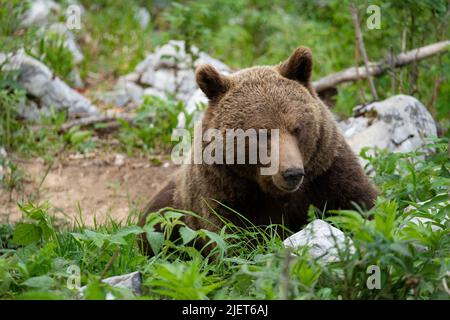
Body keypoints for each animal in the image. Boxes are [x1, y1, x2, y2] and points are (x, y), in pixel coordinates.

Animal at [139, 45, 378, 255]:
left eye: (297, 128)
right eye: (261, 134)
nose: (292, 173)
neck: (271, 191)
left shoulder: (326, 170)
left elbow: (360, 203)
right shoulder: (224, 193)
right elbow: (232, 239)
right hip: (167, 214)